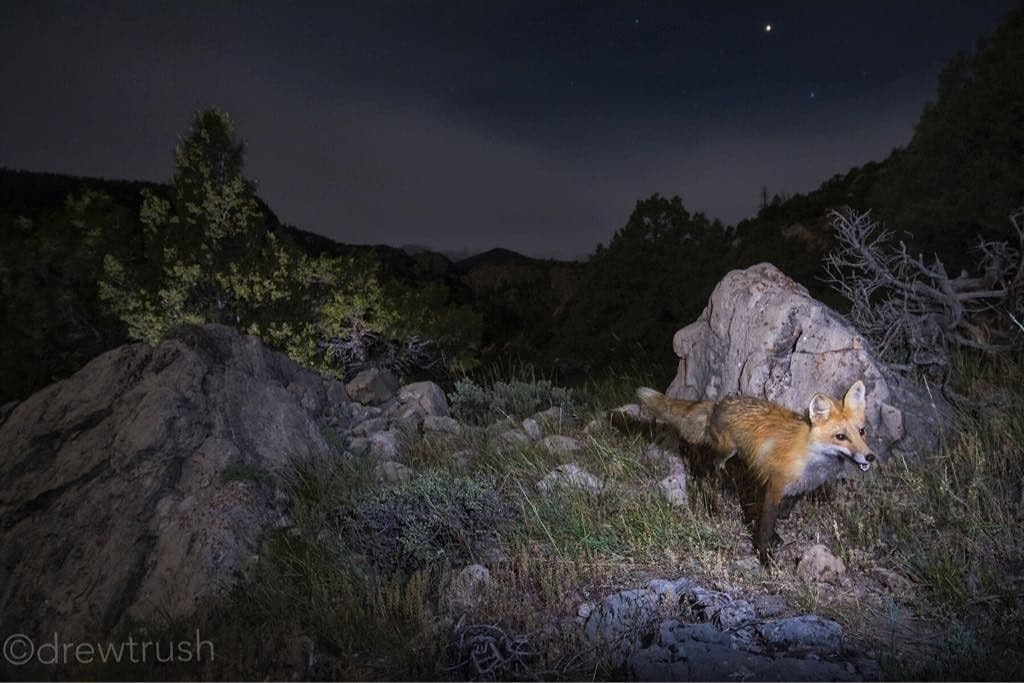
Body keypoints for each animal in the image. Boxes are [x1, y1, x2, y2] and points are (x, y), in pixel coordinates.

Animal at [638, 378, 872, 561]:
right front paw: (764, 557)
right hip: (726, 451)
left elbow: (782, 510)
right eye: (840, 437)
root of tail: (719, 403)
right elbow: (765, 526)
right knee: (709, 467)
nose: (870, 456)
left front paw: (778, 528)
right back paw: (716, 496)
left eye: (862, 432)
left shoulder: (800, 485)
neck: (812, 459)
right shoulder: (774, 486)